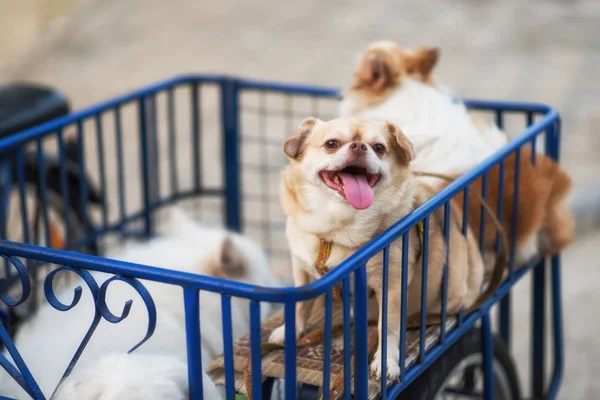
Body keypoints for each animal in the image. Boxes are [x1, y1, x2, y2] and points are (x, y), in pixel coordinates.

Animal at [268, 117, 482, 380]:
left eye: (379, 148)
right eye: (331, 144)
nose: (359, 146)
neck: (337, 231)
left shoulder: (390, 287)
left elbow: (387, 327)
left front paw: (386, 361)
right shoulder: (302, 272)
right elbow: (300, 307)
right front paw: (290, 331)